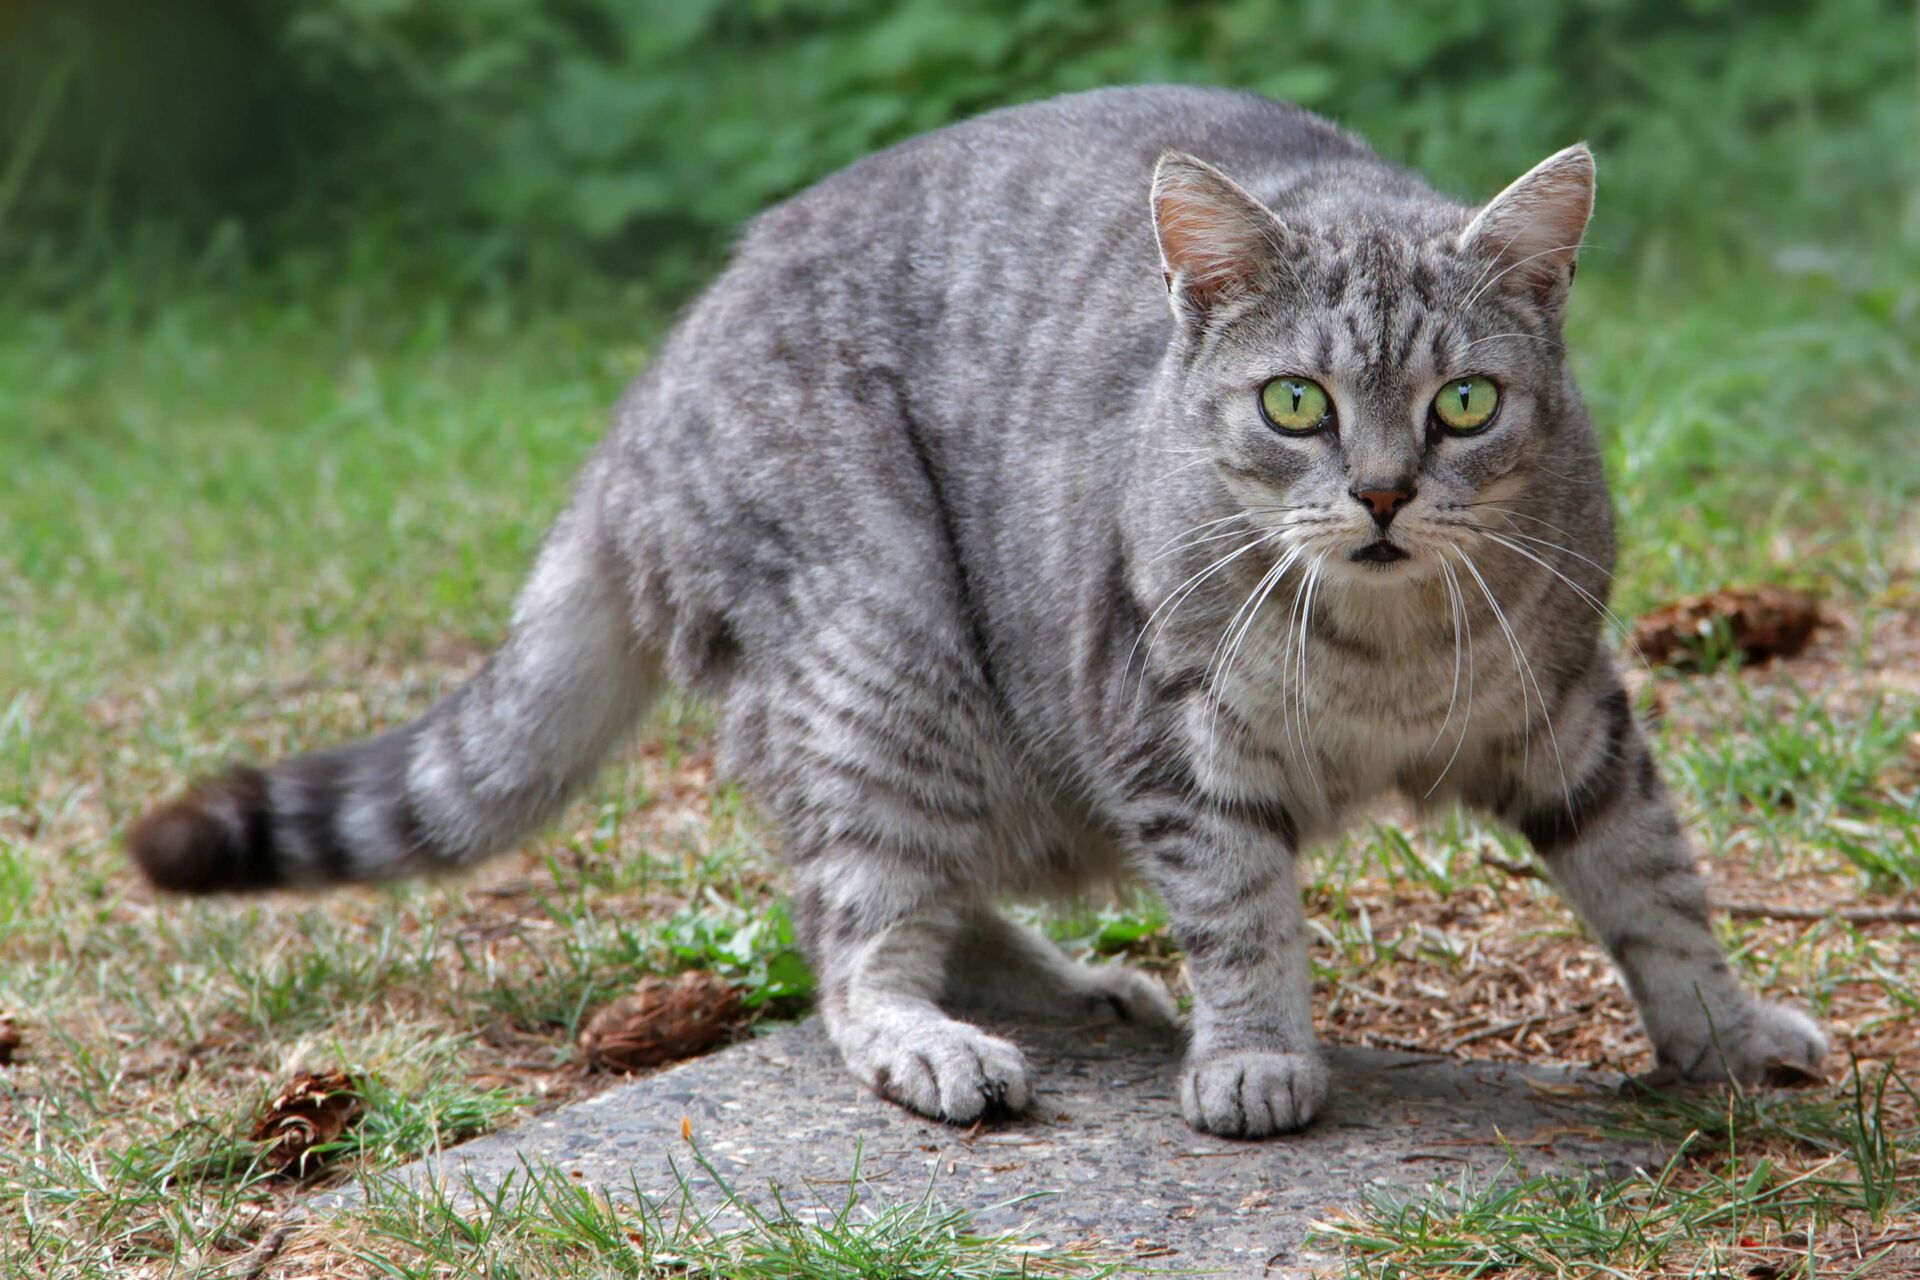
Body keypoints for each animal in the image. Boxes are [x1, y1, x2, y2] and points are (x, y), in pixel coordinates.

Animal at [127, 84, 1820, 1136]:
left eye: (1467, 404)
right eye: (1298, 403)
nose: (1388, 495)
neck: (1384, 658)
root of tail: (644, 396)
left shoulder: (1573, 712)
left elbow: (1655, 879)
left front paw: (1724, 1034)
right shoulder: (1168, 738)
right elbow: (1243, 909)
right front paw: (1259, 1059)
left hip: (983, 742)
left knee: (934, 896)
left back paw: (1084, 991)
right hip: (886, 655)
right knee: (853, 933)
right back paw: (942, 1039)